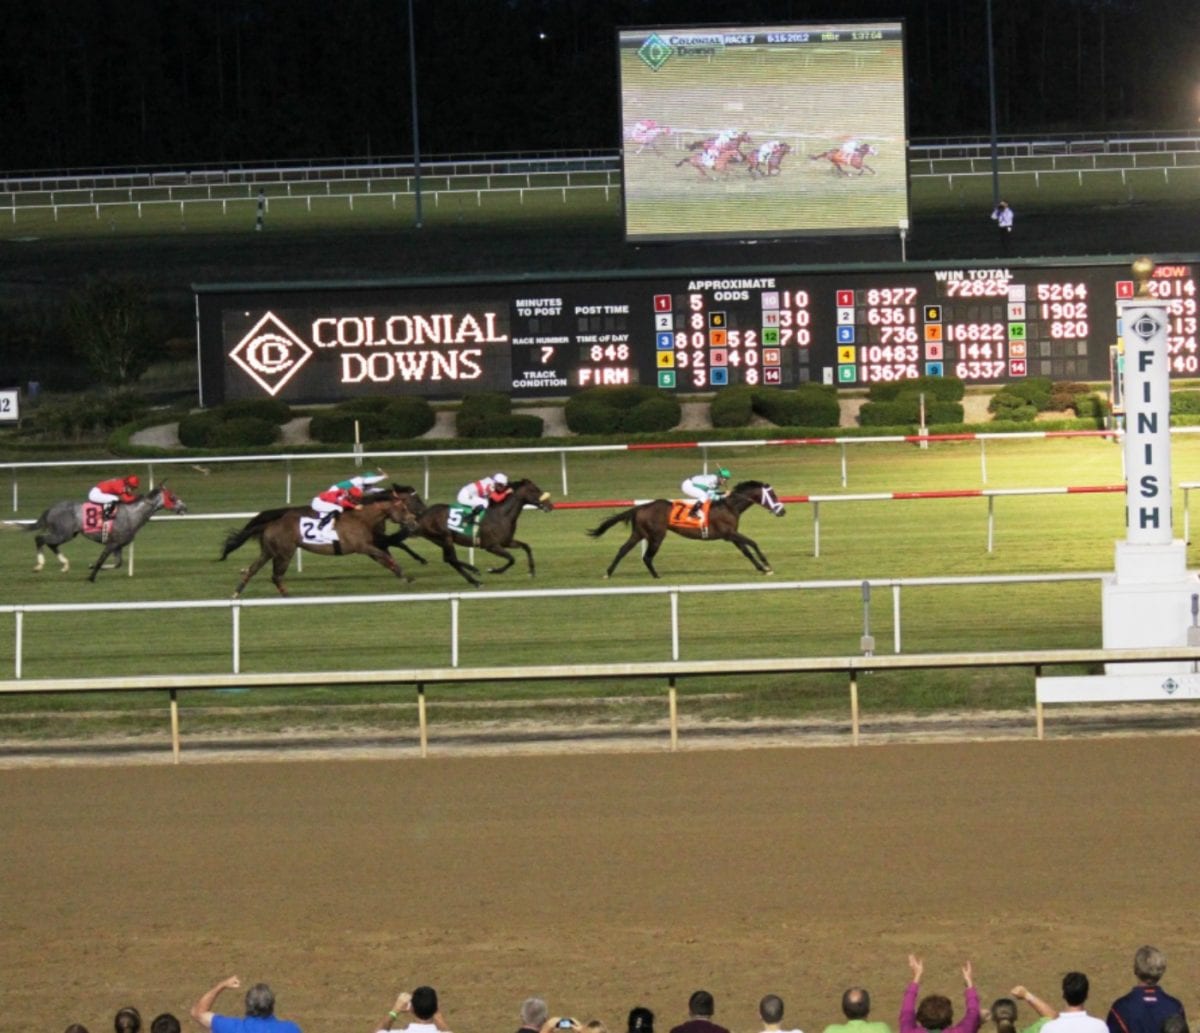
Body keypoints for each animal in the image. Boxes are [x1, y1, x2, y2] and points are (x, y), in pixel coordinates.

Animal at [29, 484, 187, 580]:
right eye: (172, 497)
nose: (185, 508)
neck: (131, 514)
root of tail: (51, 509)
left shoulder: (119, 545)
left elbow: (118, 564)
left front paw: (91, 567)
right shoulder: (112, 543)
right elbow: (102, 559)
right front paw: (91, 576)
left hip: (66, 534)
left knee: (50, 544)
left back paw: (64, 565)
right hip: (62, 533)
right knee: (40, 539)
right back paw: (39, 566)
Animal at [222, 484, 427, 597]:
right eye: (405, 507)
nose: (415, 521)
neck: (362, 517)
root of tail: (270, 523)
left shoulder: (372, 544)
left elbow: (387, 558)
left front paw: (405, 576)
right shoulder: (363, 546)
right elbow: (387, 556)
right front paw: (407, 573)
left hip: (268, 551)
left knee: (252, 570)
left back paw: (236, 593)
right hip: (284, 553)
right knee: (276, 576)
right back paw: (287, 595)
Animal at [384, 477, 552, 587]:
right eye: (535, 490)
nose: (550, 505)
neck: (501, 515)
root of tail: (421, 516)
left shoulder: (507, 542)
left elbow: (527, 547)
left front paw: (532, 571)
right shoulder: (491, 546)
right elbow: (511, 559)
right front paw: (494, 570)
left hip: (439, 540)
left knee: (449, 559)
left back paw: (474, 576)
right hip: (445, 536)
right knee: (451, 559)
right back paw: (475, 576)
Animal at [583, 477, 787, 575]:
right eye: (773, 495)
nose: (782, 511)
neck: (730, 506)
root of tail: (641, 507)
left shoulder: (731, 535)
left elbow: (746, 551)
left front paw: (761, 568)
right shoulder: (729, 533)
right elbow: (753, 543)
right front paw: (767, 564)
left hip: (639, 533)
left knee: (623, 550)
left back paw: (609, 573)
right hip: (657, 535)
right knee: (647, 557)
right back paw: (657, 576)